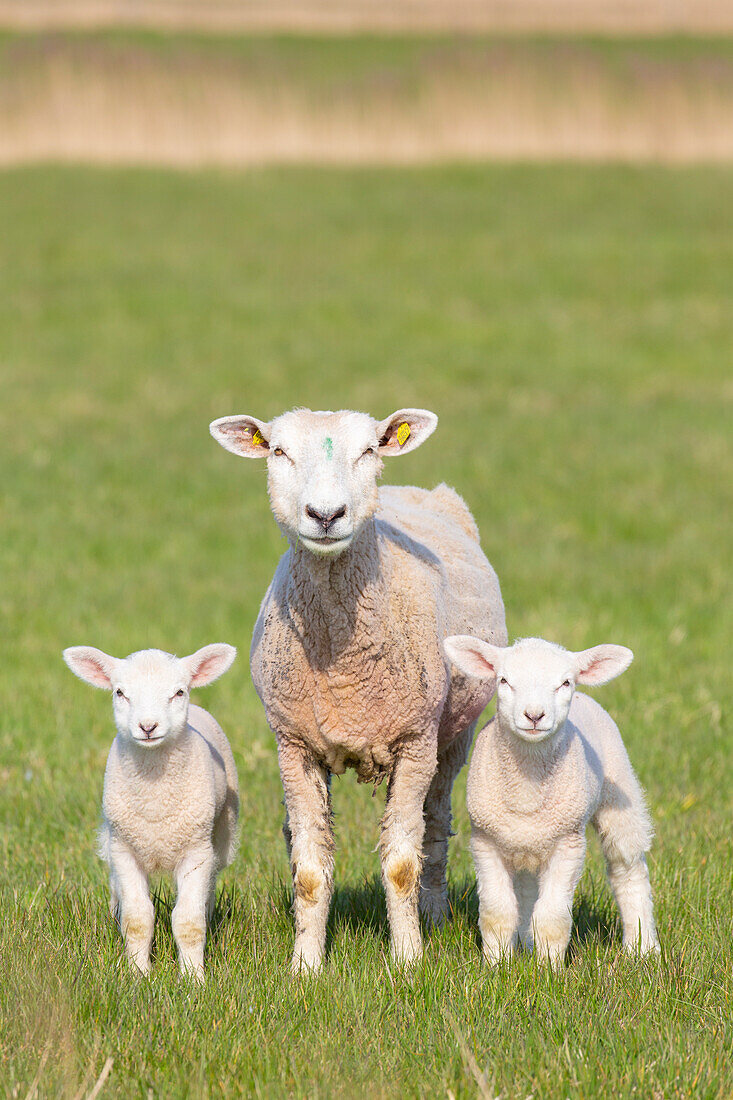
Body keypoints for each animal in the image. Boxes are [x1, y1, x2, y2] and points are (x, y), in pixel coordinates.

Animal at [62, 642, 236, 985]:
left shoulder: (196, 851)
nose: (147, 726)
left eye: (179, 692)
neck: (156, 803)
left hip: (220, 835)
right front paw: (137, 975)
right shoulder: (124, 850)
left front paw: (194, 979)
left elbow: (189, 921)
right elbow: (137, 918)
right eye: (120, 693)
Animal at [208, 407, 506, 972]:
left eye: (368, 451)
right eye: (278, 451)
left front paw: (408, 960)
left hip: (452, 735)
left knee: (436, 828)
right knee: (296, 836)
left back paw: (434, 916)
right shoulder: (294, 745)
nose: (326, 515)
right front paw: (305, 965)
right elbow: (309, 870)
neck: (342, 670)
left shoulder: (415, 741)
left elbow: (403, 864)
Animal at [442, 633, 660, 968]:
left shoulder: (568, 844)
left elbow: (553, 918)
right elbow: (497, 913)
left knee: (628, 870)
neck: (527, 791)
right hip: (526, 843)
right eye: (503, 680)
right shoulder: (485, 841)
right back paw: (527, 946)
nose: (534, 715)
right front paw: (497, 965)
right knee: (527, 892)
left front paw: (549, 970)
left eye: (565, 682)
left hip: (619, 794)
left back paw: (642, 948)